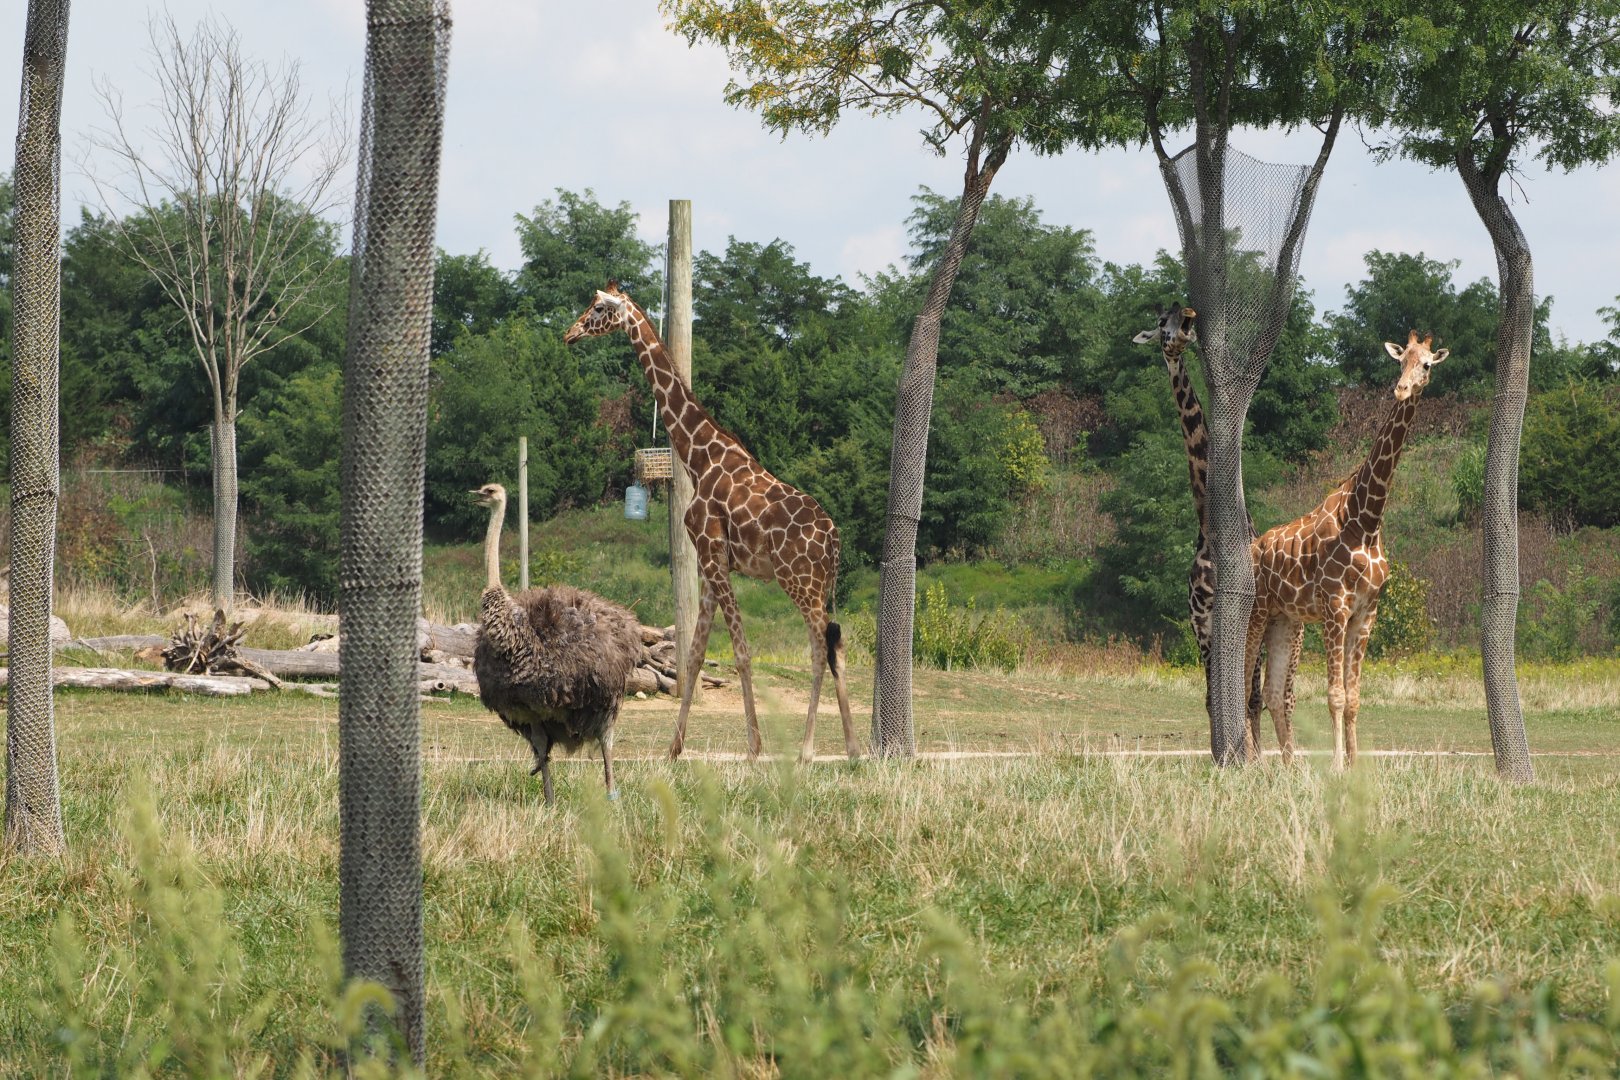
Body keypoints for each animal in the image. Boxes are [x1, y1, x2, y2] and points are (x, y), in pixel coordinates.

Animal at [564, 282, 859, 764]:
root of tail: (834, 540)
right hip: (818, 586)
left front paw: (755, 748)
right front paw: (673, 750)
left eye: (598, 308)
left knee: (822, 649)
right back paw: (836, 750)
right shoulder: (708, 561)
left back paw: (820, 751)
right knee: (833, 646)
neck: (699, 458)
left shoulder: (713, 552)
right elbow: (696, 653)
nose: (570, 334)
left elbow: (740, 650)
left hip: (799, 581)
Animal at [1243, 330, 1448, 768]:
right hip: (1257, 611)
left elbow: (1353, 698)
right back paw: (1248, 761)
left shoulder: (1365, 613)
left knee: (1271, 693)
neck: (1365, 520)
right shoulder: (1335, 608)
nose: (1402, 389)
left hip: (1285, 620)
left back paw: (1287, 768)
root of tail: (1252, 549)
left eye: (1426, 364)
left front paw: (1355, 766)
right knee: (1243, 681)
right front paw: (1338, 767)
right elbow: (1335, 696)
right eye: (1400, 360)